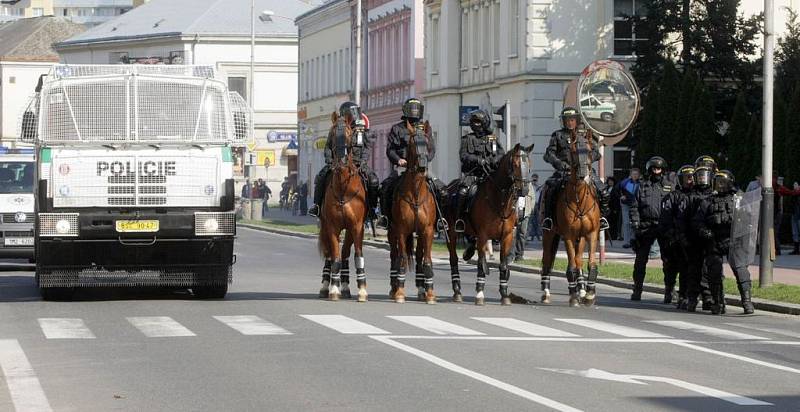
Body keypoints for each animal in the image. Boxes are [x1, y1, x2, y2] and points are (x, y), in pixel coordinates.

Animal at [318, 112, 368, 302]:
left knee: (346, 252)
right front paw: (333, 289)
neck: (343, 189)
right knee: (330, 256)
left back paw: (346, 286)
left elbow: (357, 255)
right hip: (326, 227)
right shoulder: (332, 227)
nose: (341, 161)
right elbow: (335, 258)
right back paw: (327, 285)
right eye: (332, 135)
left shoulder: (357, 227)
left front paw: (362, 290)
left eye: (349, 135)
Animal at [390, 120, 438, 304]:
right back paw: (394, 287)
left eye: (426, 142)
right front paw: (400, 292)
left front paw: (430, 293)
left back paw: (421, 289)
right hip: (392, 232)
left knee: (418, 257)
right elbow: (402, 260)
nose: (423, 165)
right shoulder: (402, 231)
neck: (416, 193)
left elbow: (427, 260)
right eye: (412, 143)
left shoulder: (428, 231)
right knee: (395, 256)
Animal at [444, 143, 532, 304]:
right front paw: (479, 293)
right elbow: (481, 263)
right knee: (453, 259)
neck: (500, 200)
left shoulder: (507, 236)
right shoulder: (483, 236)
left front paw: (504, 294)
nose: (524, 189)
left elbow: (503, 264)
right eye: (516, 164)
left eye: (529, 165)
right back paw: (457, 291)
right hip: (451, 233)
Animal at [540, 130, 596, 308]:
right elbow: (571, 265)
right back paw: (546, 293)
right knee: (547, 260)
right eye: (573, 151)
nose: (583, 176)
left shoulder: (591, 234)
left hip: (580, 238)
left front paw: (589, 294)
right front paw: (573, 296)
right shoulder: (568, 235)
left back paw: (582, 289)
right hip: (549, 234)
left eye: (590, 151)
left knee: (578, 260)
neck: (580, 200)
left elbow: (589, 264)